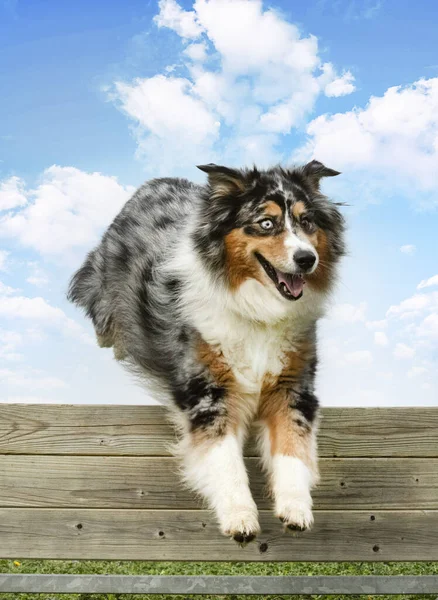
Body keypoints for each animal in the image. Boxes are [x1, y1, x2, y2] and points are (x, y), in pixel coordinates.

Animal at [67, 159, 346, 544]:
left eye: (307, 222)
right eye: (266, 223)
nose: (307, 259)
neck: (259, 310)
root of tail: (154, 183)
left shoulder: (292, 386)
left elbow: (293, 448)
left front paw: (296, 508)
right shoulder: (209, 391)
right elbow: (225, 460)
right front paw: (240, 517)